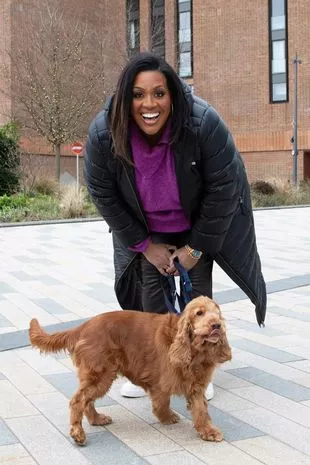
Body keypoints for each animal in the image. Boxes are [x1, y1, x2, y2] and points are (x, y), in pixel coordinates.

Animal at [29, 296, 231, 444]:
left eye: (217, 313)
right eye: (200, 313)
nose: (217, 325)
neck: (194, 350)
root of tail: (83, 327)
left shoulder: (196, 386)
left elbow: (201, 410)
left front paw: (208, 431)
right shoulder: (160, 380)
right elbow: (162, 403)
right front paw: (167, 417)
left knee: (86, 400)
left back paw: (97, 419)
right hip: (101, 374)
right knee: (78, 400)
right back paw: (78, 433)